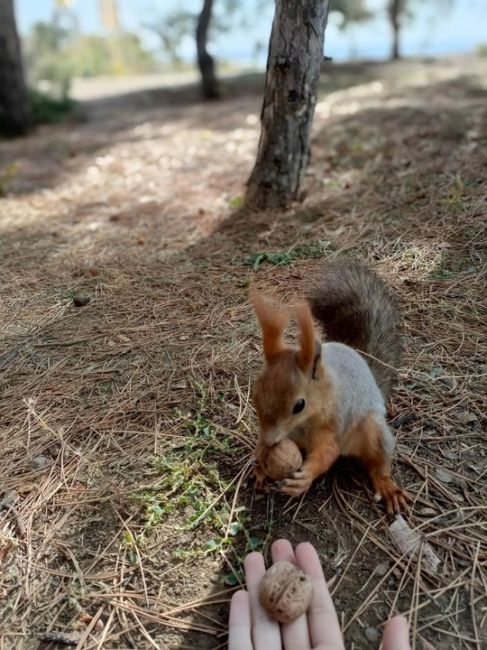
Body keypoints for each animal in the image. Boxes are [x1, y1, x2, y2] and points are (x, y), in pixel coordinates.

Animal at [252, 258, 408, 512]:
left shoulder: (334, 423)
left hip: (371, 429)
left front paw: (304, 478)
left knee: (377, 461)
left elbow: (327, 452)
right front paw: (260, 464)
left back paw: (386, 485)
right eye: (254, 395)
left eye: (299, 405)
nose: (268, 442)